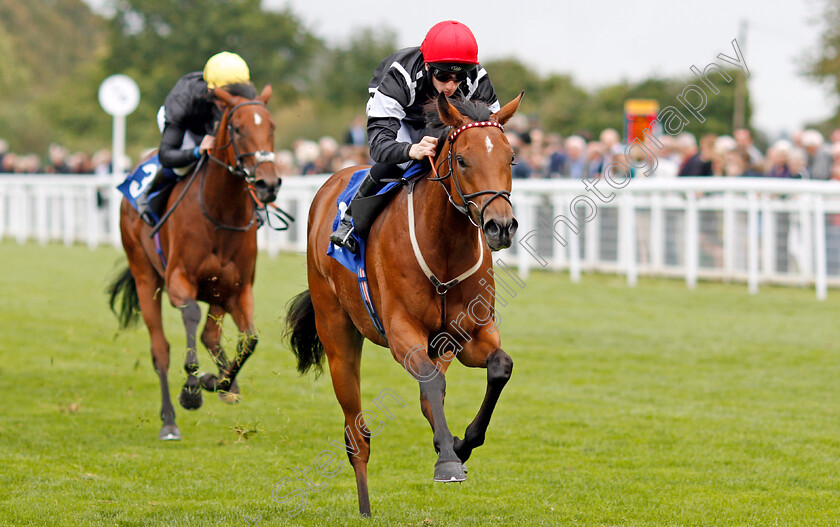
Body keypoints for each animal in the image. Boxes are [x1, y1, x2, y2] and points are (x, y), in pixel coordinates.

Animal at [106, 85, 278, 442]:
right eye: (237, 128)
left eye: (272, 126)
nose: (268, 184)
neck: (221, 212)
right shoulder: (178, 281)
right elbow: (190, 316)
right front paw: (191, 389)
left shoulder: (237, 288)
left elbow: (250, 339)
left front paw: (220, 382)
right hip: (145, 276)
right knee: (160, 349)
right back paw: (170, 420)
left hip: (217, 291)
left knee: (210, 335)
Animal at [288, 93, 524, 516]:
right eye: (462, 159)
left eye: (510, 158)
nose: (500, 226)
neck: (444, 249)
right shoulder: (402, 332)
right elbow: (430, 381)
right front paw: (448, 461)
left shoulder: (470, 334)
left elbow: (499, 367)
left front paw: (460, 445)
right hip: (337, 334)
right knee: (357, 434)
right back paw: (365, 507)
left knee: (432, 395)